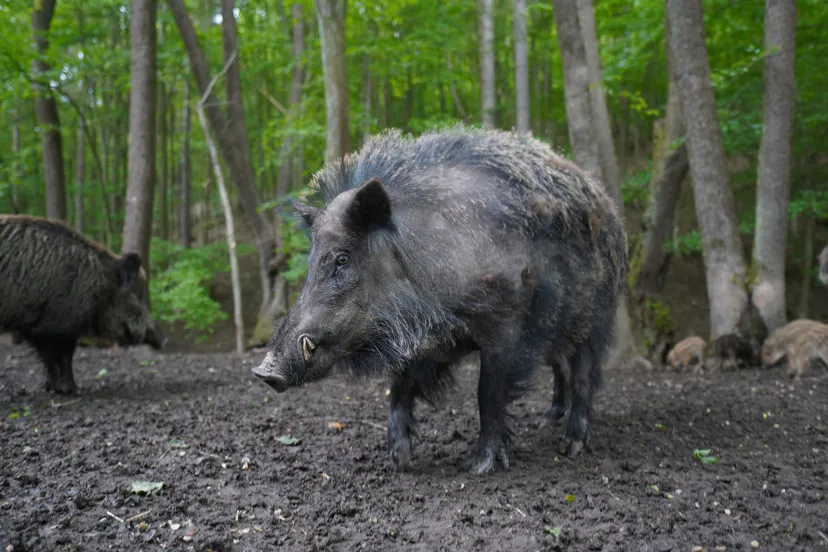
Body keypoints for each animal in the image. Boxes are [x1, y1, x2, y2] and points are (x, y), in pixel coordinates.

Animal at [0, 215, 163, 394]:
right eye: (137, 296)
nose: (161, 339)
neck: (102, 286)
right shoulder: (54, 326)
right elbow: (60, 359)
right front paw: (70, 390)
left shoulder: (37, 328)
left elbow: (55, 359)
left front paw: (55, 388)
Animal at [252, 126, 628, 474]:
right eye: (312, 260)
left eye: (342, 259)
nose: (265, 371)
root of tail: (609, 207)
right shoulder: (425, 342)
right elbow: (399, 385)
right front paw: (399, 460)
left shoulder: (505, 325)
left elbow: (488, 392)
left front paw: (479, 466)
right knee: (561, 367)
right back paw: (547, 422)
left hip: (599, 313)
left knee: (584, 373)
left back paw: (571, 445)